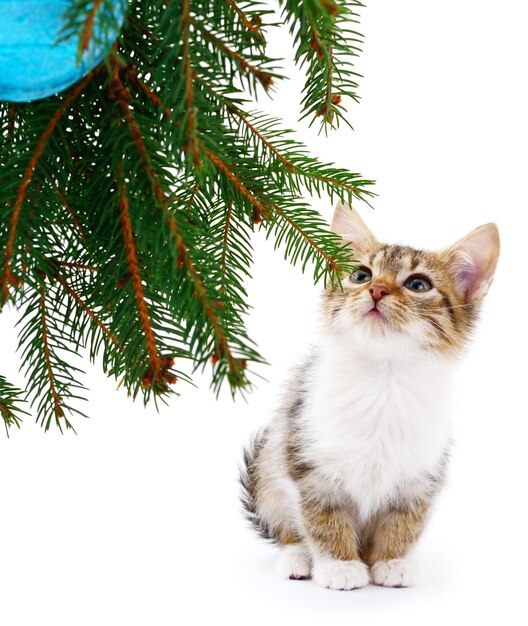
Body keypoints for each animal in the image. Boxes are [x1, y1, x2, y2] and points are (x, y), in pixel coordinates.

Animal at [241, 202, 502, 588]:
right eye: (361, 275)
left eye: (418, 284)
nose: (376, 290)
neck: (384, 377)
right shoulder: (309, 459)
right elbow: (322, 515)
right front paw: (339, 564)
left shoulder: (419, 473)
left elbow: (405, 519)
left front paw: (392, 561)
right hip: (268, 467)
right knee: (284, 525)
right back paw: (297, 557)